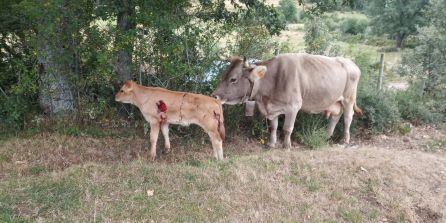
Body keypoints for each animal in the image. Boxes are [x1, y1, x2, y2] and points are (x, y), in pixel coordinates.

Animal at [212, 52, 362, 148]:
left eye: (233, 79)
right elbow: (273, 126)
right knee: (336, 117)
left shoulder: (293, 106)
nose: (214, 96)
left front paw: (286, 145)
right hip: (335, 101)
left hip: (348, 99)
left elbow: (287, 128)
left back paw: (345, 140)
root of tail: (351, 63)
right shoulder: (272, 108)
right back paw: (326, 135)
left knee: (348, 117)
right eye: (223, 75)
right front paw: (271, 144)